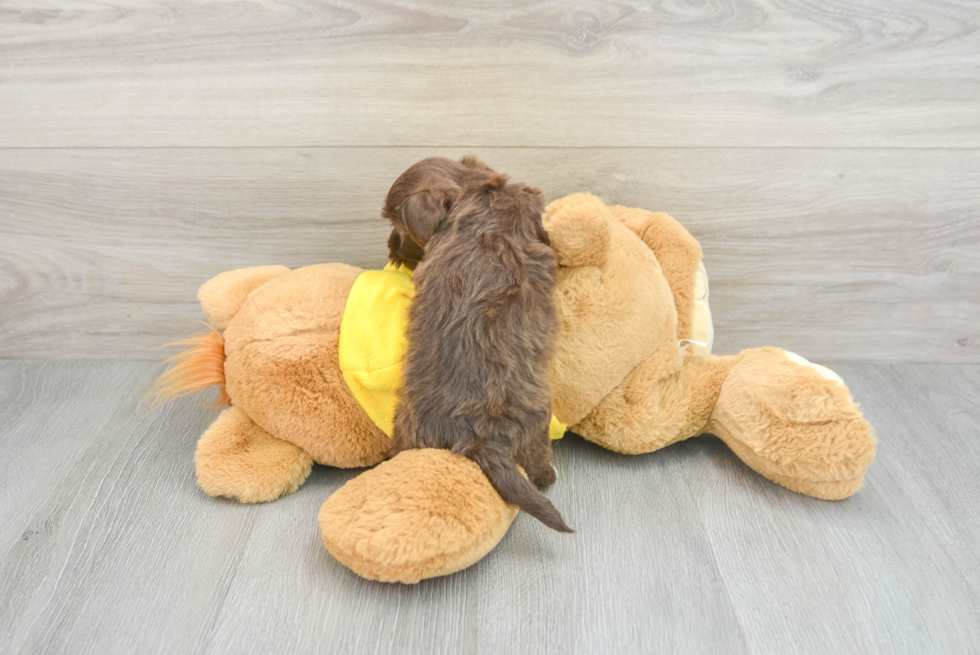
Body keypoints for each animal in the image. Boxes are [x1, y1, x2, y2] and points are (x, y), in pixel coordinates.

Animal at [388, 169, 576, 532]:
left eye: (398, 228)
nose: (390, 248)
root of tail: (480, 436)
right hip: (537, 426)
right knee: (537, 463)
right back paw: (548, 476)